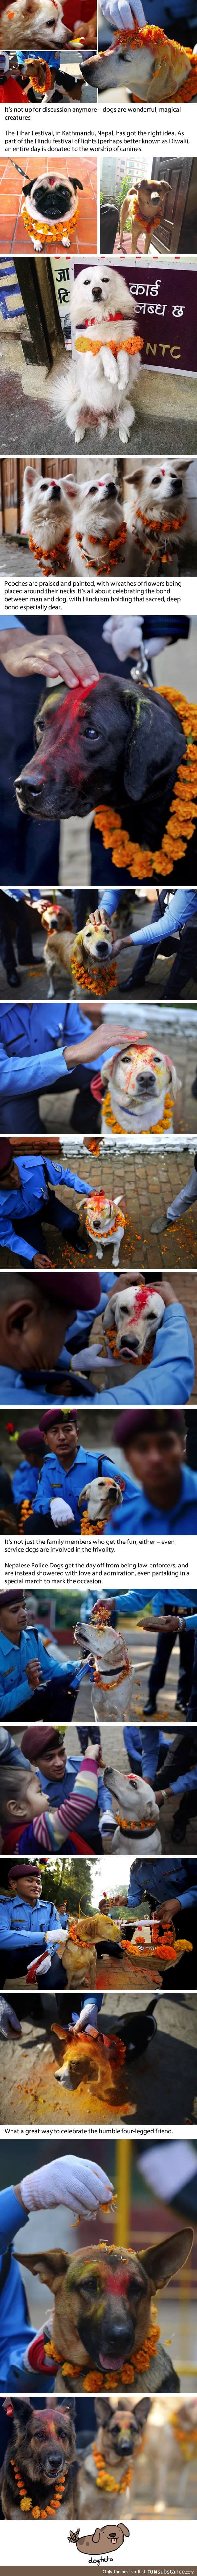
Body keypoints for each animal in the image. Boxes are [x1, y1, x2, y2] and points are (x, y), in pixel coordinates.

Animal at [48, 261, 142, 448]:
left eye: (105, 280)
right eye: (87, 283)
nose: (96, 291)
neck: (104, 316)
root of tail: (102, 417)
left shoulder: (134, 357)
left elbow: (122, 351)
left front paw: (122, 379)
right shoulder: (92, 366)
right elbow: (102, 348)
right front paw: (113, 373)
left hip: (129, 413)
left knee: (122, 426)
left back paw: (124, 435)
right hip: (74, 415)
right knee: (80, 426)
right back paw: (79, 435)